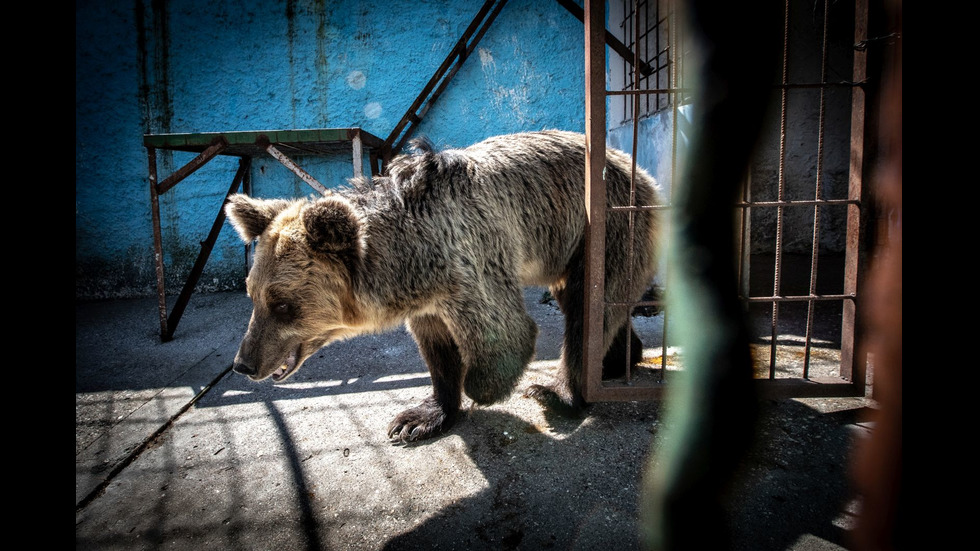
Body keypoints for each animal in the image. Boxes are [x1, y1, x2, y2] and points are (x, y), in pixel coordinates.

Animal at [226, 130, 664, 444]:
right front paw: (420, 418)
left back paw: (558, 392)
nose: (244, 364)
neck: (412, 256)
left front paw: (484, 389)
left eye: (283, 305)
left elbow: (508, 333)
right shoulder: (427, 298)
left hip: (604, 225)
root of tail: (638, 170)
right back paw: (618, 360)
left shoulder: (471, 259)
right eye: (253, 296)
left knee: (588, 306)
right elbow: (437, 351)